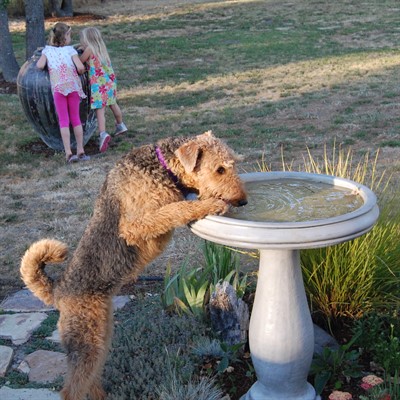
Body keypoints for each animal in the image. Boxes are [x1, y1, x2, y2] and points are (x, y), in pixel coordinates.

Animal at [21, 131, 248, 400]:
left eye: (233, 163)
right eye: (219, 169)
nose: (243, 201)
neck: (163, 166)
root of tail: (58, 290)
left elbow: (178, 206)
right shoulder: (136, 225)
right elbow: (176, 209)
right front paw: (211, 205)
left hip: (101, 333)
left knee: (91, 377)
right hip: (85, 338)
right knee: (71, 389)